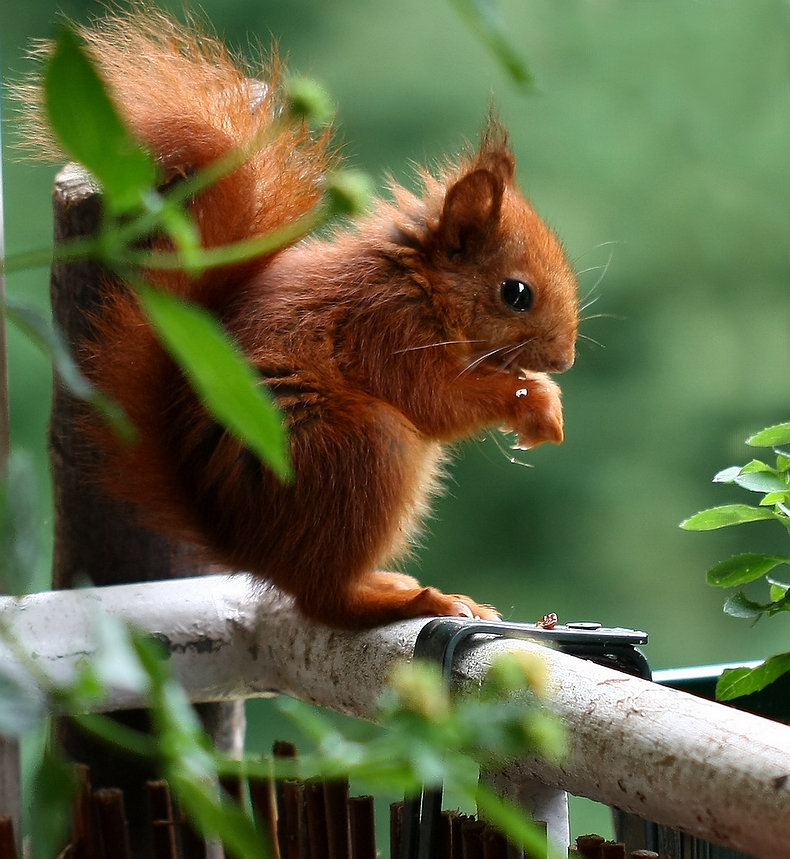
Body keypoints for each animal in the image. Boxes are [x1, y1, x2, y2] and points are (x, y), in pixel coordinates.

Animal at [34, 11, 580, 632]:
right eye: (517, 293)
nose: (565, 358)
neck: (421, 285)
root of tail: (250, 550)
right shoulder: (384, 331)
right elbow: (438, 399)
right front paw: (532, 401)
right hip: (363, 451)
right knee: (326, 597)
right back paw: (416, 599)